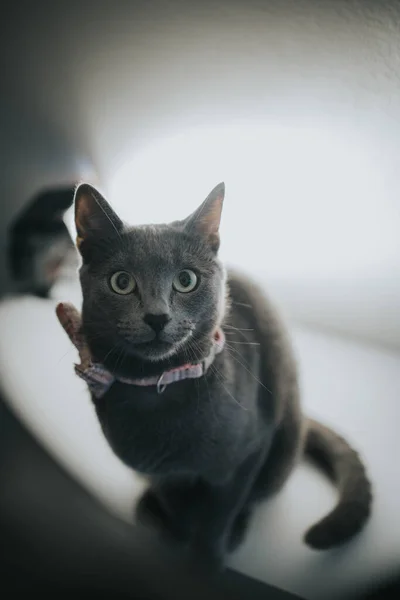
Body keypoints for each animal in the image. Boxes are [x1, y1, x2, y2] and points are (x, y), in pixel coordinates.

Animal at [69, 182, 372, 568]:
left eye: (186, 280)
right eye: (121, 282)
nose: (157, 316)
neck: (156, 390)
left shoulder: (248, 452)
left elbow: (220, 514)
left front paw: (206, 560)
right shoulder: (161, 472)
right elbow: (177, 506)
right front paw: (175, 541)